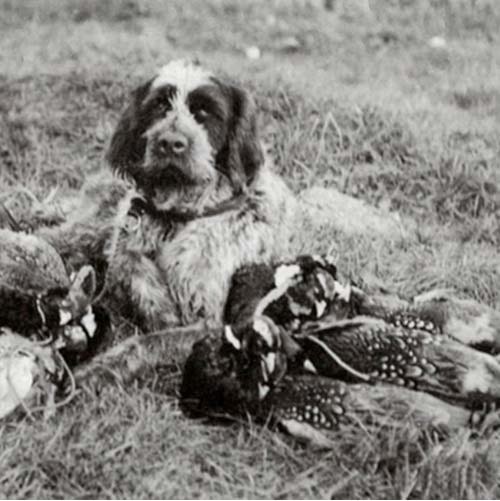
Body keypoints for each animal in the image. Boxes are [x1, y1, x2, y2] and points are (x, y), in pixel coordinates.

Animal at [38, 59, 300, 328]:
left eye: (205, 112)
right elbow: (132, 267)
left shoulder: (203, 307)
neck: (177, 215)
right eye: (160, 105)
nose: (170, 143)